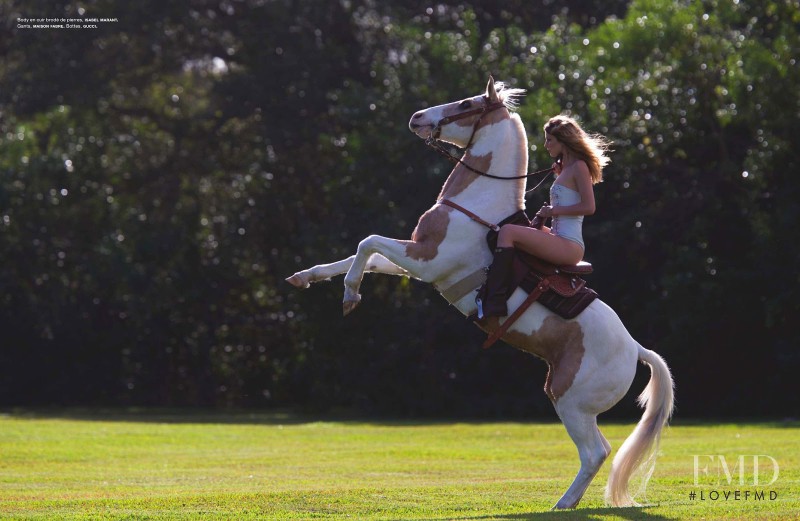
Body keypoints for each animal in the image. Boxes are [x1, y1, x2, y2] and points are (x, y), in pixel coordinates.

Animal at [288, 77, 676, 508]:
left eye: (466, 103)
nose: (417, 117)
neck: (475, 205)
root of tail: (636, 349)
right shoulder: (417, 261)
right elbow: (363, 255)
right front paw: (305, 276)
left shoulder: (426, 260)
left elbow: (367, 243)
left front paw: (350, 296)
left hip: (570, 401)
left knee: (596, 451)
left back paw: (562, 503)